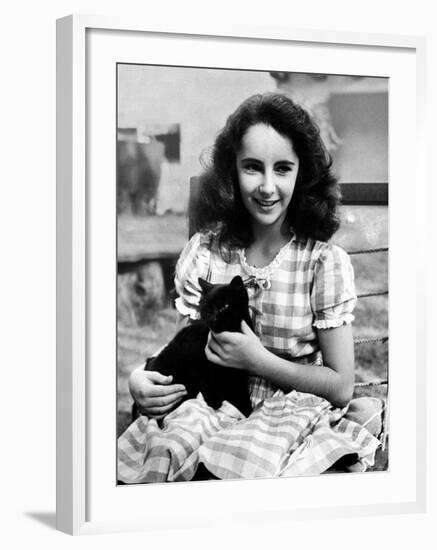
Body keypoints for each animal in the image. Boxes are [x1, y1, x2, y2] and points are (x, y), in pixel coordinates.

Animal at [143, 276, 252, 418]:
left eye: (224, 306)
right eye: (207, 309)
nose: (213, 318)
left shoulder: (239, 373)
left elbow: (240, 391)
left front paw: (246, 409)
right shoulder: (209, 375)